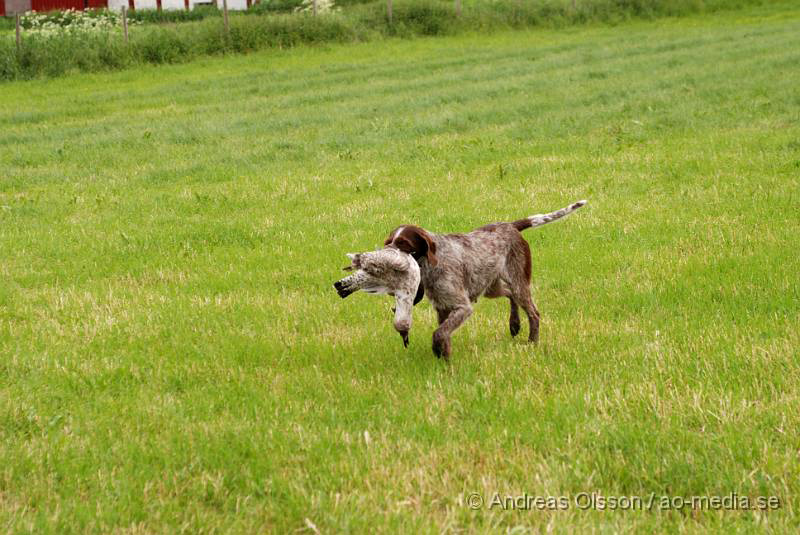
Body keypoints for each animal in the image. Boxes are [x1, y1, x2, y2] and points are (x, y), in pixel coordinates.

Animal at [384, 200, 584, 360]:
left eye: (404, 243)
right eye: (388, 242)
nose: (386, 253)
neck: (431, 265)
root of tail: (511, 226)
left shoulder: (462, 307)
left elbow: (439, 333)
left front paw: (440, 353)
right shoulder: (442, 308)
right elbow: (444, 332)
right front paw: (444, 357)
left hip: (518, 281)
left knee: (533, 313)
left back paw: (532, 342)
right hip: (490, 286)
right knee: (510, 295)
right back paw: (514, 324)